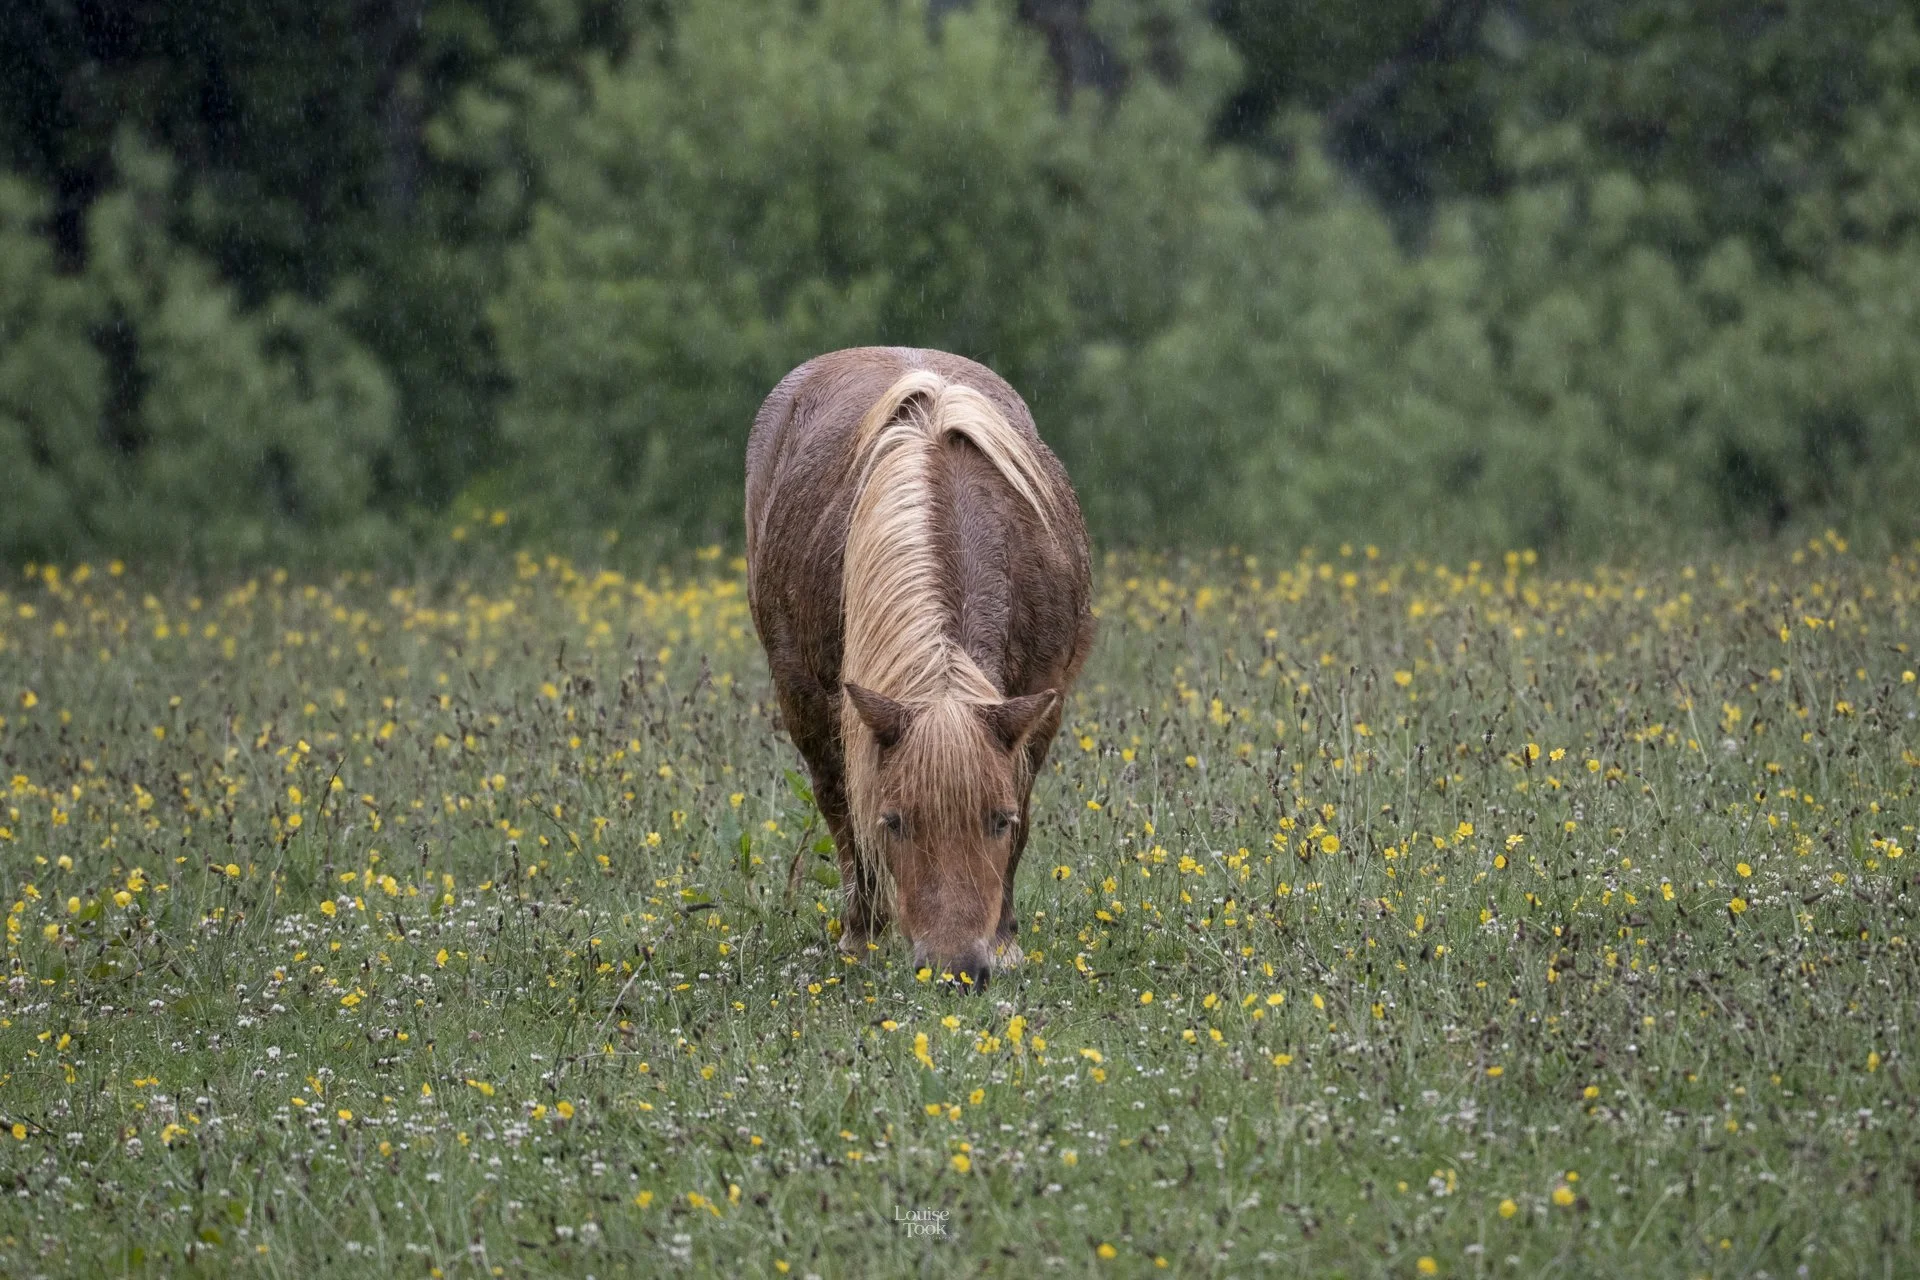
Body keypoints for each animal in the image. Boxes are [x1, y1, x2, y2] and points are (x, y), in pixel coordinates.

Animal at [746, 347, 1094, 990]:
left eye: (997, 820)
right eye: (896, 821)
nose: (956, 971)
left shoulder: (1041, 700)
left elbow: (1025, 802)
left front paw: (1006, 942)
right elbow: (846, 812)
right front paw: (862, 936)